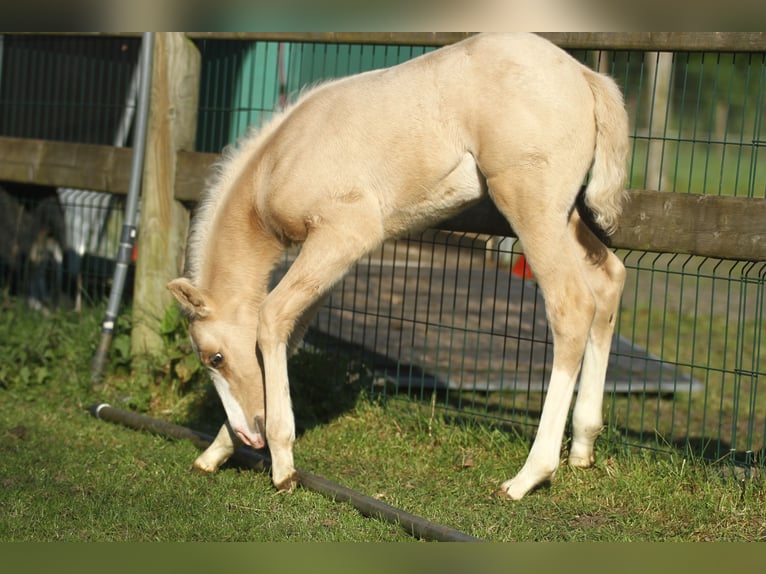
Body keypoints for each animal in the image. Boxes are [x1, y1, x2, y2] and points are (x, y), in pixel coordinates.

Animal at [168, 31, 632, 502]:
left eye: (215, 357)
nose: (251, 434)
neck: (276, 164)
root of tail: (585, 75)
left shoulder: (346, 233)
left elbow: (271, 316)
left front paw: (282, 467)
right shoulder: (332, 258)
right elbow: (286, 330)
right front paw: (216, 452)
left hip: (527, 201)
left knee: (571, 305)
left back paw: (529, 475)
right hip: (562, 213)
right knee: (609, 278)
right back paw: (583, 446)